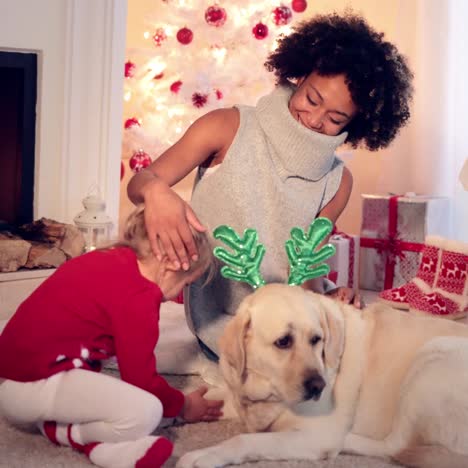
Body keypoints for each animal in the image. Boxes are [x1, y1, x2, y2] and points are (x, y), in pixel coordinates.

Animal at [177, 284, 468, 466]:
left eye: (316, 339)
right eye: (283, 341)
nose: (318, 386)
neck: (267, 391)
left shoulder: (310, 435)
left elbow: (244, 440)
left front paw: (202, 455)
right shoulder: (240, 397)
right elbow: (205, 396)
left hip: (433, 356)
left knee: (394, 447)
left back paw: (347, 441)